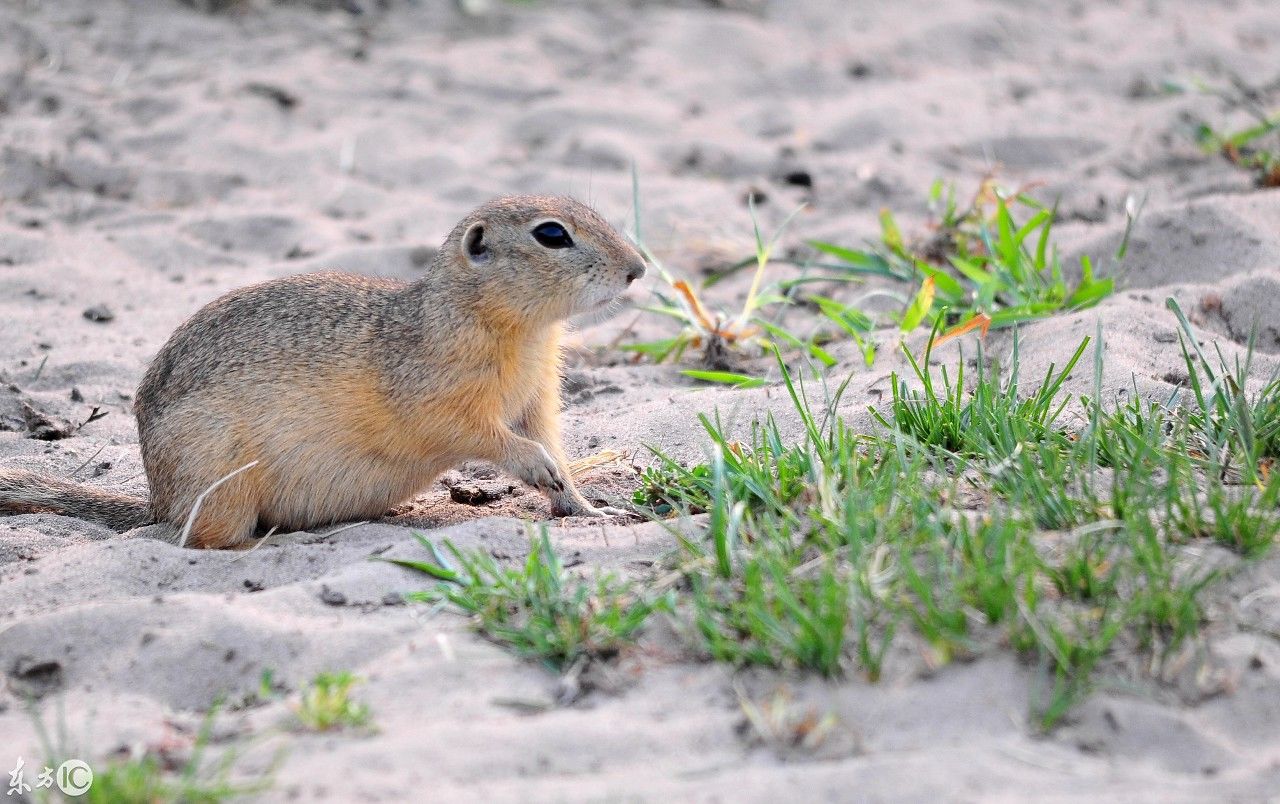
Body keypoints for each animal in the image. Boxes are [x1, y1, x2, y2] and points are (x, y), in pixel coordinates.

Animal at [0, 194, 640, 545]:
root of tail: (159, 500)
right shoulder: (438, 397)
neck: (521, 332)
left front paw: (590, 506)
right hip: (222, 475)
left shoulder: (537, 399)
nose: (636, 268)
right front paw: (534, 467)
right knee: (200, 539)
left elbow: (553, 449)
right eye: (551, 234)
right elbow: (482, 435)